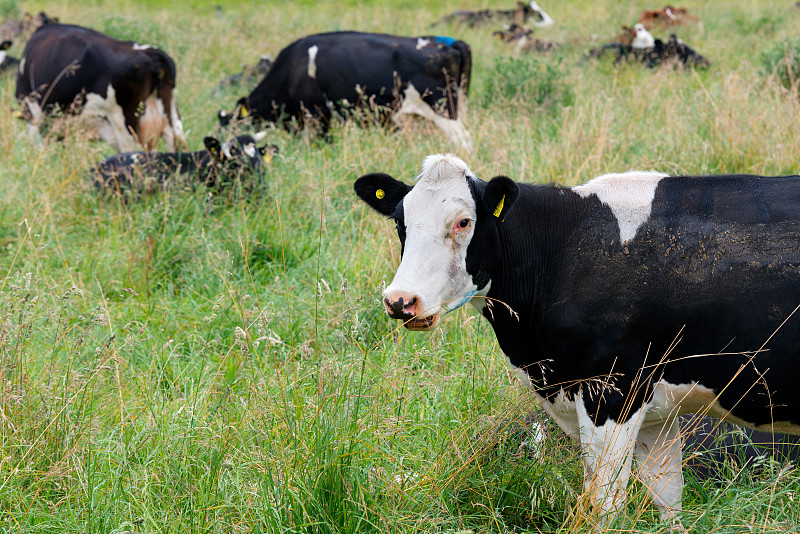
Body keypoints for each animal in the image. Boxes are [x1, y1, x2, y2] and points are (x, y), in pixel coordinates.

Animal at [354, 154, 800, 528]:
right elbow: (667, 498)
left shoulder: (613, 393)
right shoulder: (657, 409)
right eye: (400, 222)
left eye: (463, 222)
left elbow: (604, 505)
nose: (401, 300)